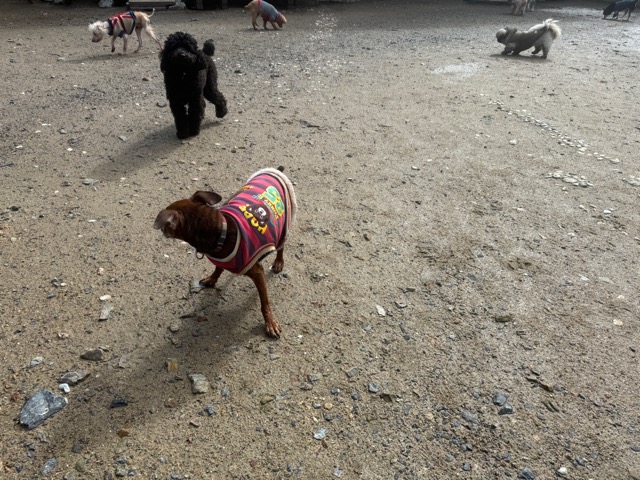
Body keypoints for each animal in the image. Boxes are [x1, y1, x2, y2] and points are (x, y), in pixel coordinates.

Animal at [154, 167, 297, 338]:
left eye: (165, 226)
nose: (162, 231)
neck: (221, 231)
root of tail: (274, 170)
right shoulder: (220, 258)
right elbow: (218, 268)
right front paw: (211, 279)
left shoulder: (258, 273)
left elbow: (264, 302)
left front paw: (269, 322)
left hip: (284, 224)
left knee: (281, 247)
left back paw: (278, 263)